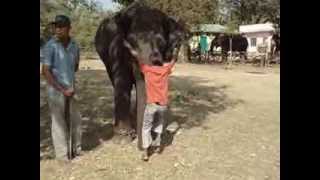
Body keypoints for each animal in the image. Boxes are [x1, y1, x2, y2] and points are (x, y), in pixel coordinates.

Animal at [95, 1, 190, 149]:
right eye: (131, 42)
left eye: (161, 43)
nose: (144, 148)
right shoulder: (116, 48)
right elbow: (123, 81)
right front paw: (123, 138)